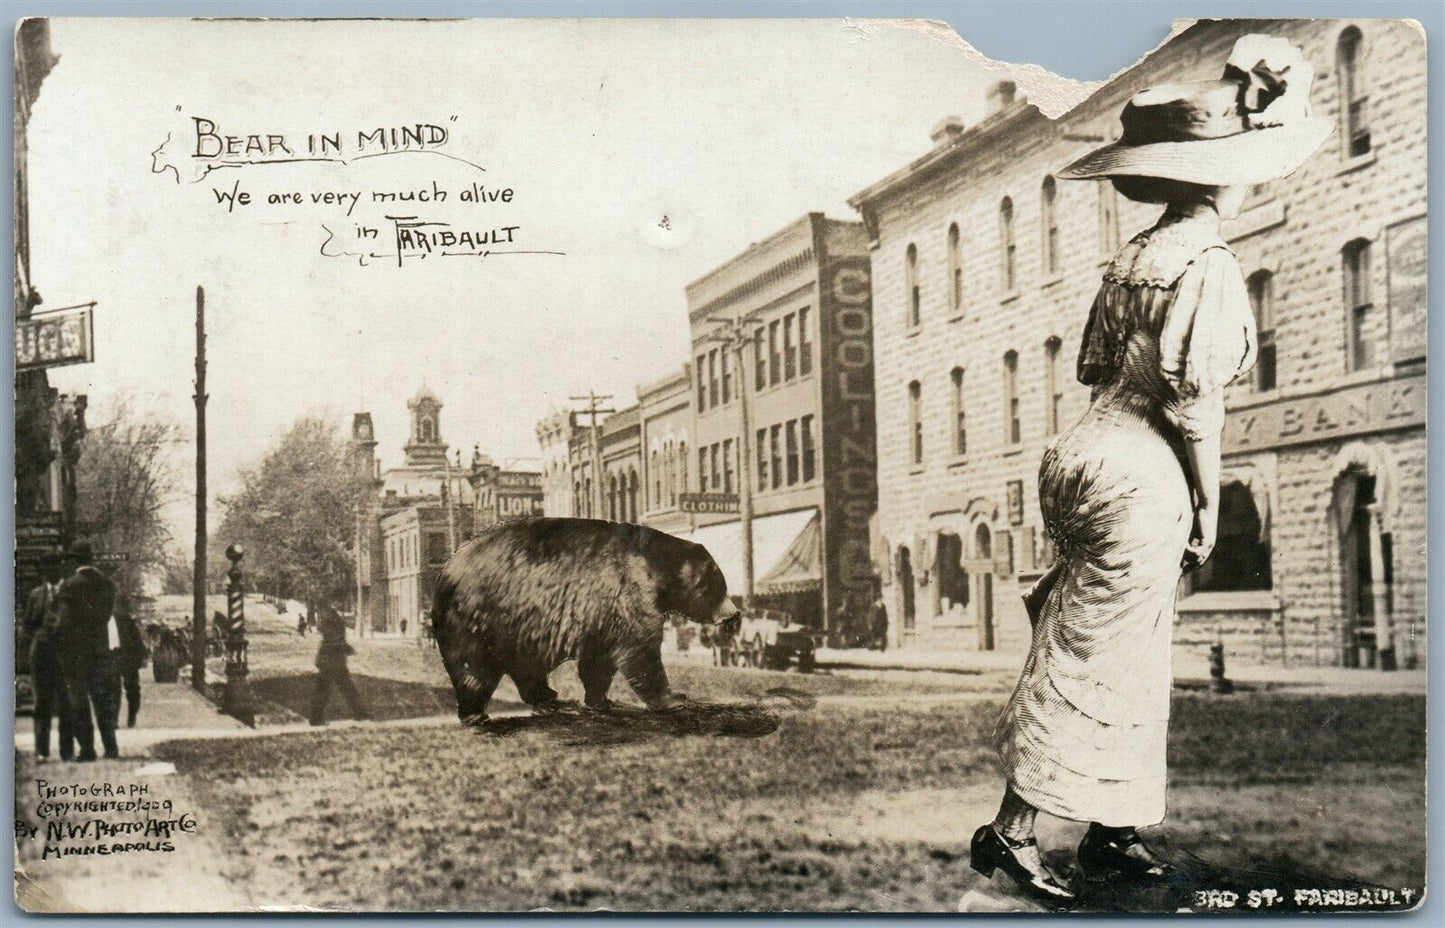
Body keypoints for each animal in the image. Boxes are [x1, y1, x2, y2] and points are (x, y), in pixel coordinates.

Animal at [432, 517, 740, 725]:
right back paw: (476, 714)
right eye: (716, 584)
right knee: (474, 668)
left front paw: (600, 701)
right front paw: (674, 698)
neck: (656, 568)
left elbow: (599, 662)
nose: (734, 614)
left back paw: (552, 699)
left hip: (521, 629)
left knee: (527, 668)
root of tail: (446, 570)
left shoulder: (602, 614)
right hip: (482, 616)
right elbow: (641, 653)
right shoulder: (628, 593)